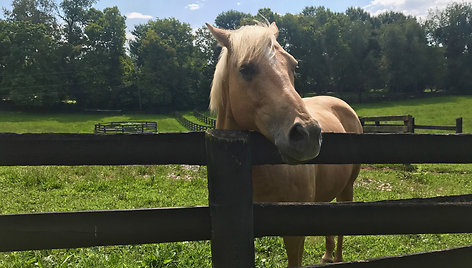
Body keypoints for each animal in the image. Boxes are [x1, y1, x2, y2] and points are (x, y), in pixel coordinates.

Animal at [206, 22, 362, 266]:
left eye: (293, 65)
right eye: (245, 69)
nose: (308, 134)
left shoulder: (294, 231)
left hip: (347, 189)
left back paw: (336, 258)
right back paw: (327, 255)